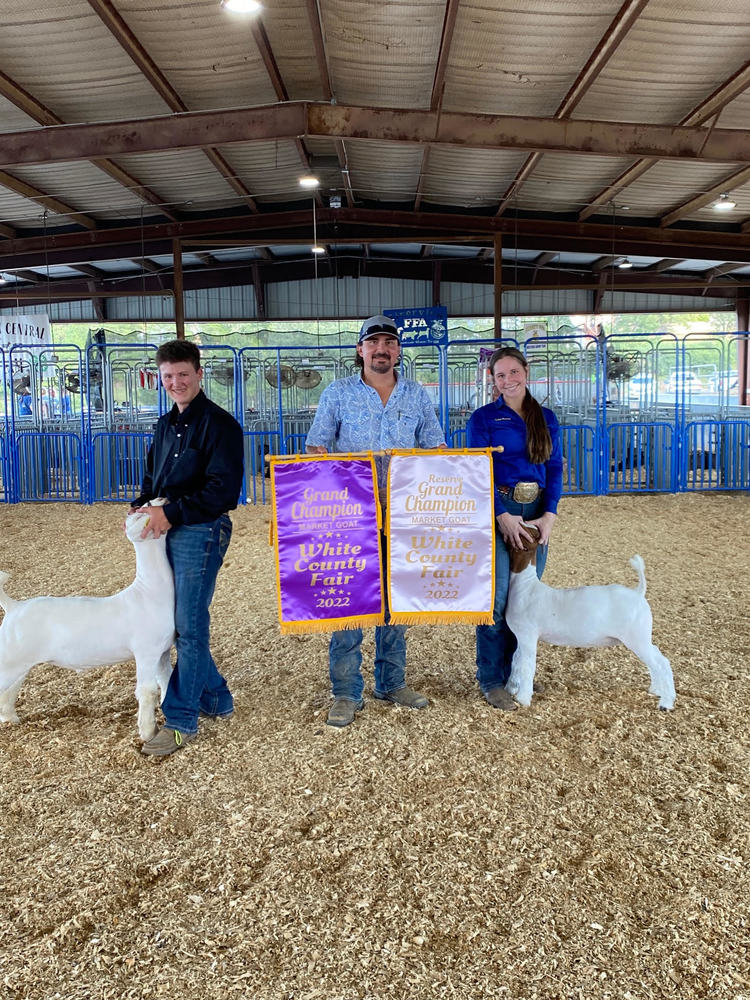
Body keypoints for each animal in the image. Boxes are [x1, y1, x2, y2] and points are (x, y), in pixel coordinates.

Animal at [0, 504, 175, 740]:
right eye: (142, 512)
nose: (162, 500)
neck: (148, 593)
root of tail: (13, 606)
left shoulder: (162, 651)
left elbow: (166, 681)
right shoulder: (146, 652)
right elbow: (147, 691)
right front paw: (148, 732)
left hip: (19, 660)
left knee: (11, 689)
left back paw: (11, 718)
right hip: (9, 658)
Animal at [508, 532, 680, 712]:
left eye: (523, 535)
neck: (526, 587)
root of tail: (638, 593)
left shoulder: (528, 635)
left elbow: (527, 665)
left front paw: (523, 699)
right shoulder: (520, 637)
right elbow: (516, 661)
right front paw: (511, 689)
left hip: (637, 637)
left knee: (661, 662)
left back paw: (666, 702)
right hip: (642, 637)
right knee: (656, 657)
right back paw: (656, 689)